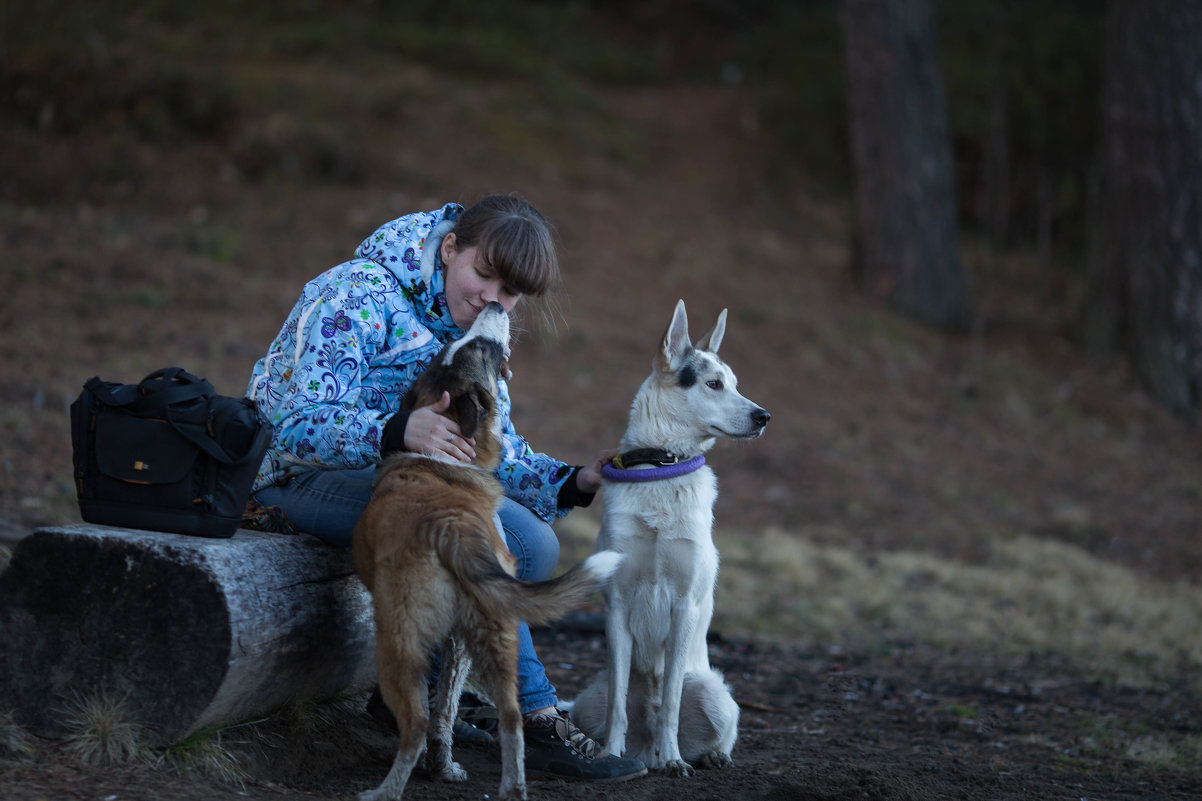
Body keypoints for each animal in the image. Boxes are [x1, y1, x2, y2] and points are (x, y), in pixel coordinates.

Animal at [350, 300, 620, 798]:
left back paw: (383, 791)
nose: (496, 304)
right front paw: (445, 767)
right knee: (509, 717)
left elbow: (438, 712)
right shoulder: (459, 639)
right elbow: (448, 708)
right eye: (477, 349)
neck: (441, 459)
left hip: (398, 641)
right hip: (495, 630)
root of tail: (449, 528)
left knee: (416, 724)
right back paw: (511, 786)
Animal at [569, 299, 769, 774]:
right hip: (587, 699)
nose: (764, 417)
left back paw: (701, 756)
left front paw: (675, 759)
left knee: (710, 727)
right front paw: (610, 755)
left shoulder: (684, 607)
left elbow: (673, 703)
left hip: (716, 696)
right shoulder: (617, 605)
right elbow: (618, 705)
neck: (662, 467)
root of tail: (645, 748)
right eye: (714, 384)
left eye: (735, 384)